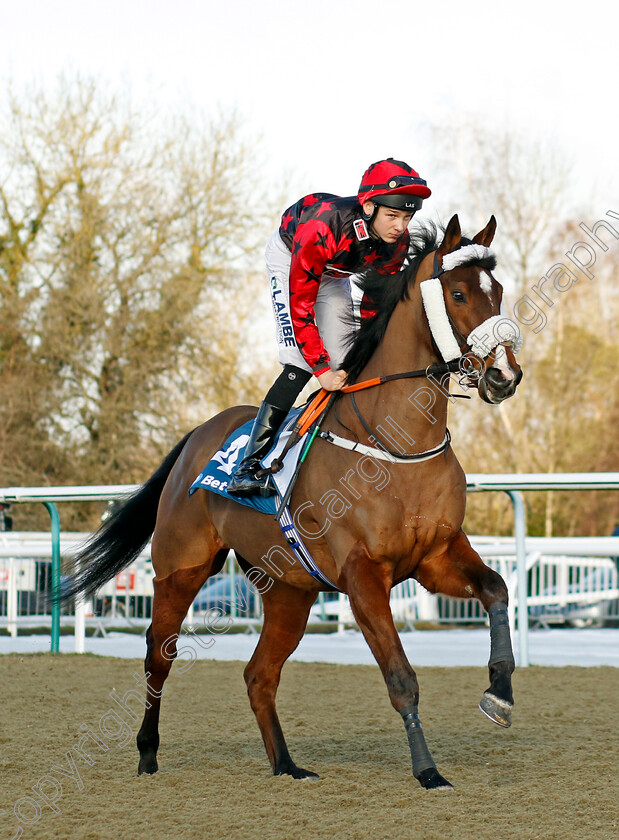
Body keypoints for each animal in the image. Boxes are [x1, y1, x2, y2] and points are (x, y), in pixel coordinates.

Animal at [63, 213, 520, 792]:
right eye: (459, 294)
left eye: (498, 292)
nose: (506, 375)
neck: (396, 444)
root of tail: (196, 436)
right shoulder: (362, 576)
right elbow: (401, 677)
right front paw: (428, 771)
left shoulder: (435, 556)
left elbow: (497, 588)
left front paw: (499, 693)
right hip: (180, 569)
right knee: (158, 654)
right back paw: (146, 753)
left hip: (288, 590)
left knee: (259, 674)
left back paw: (286, 763)